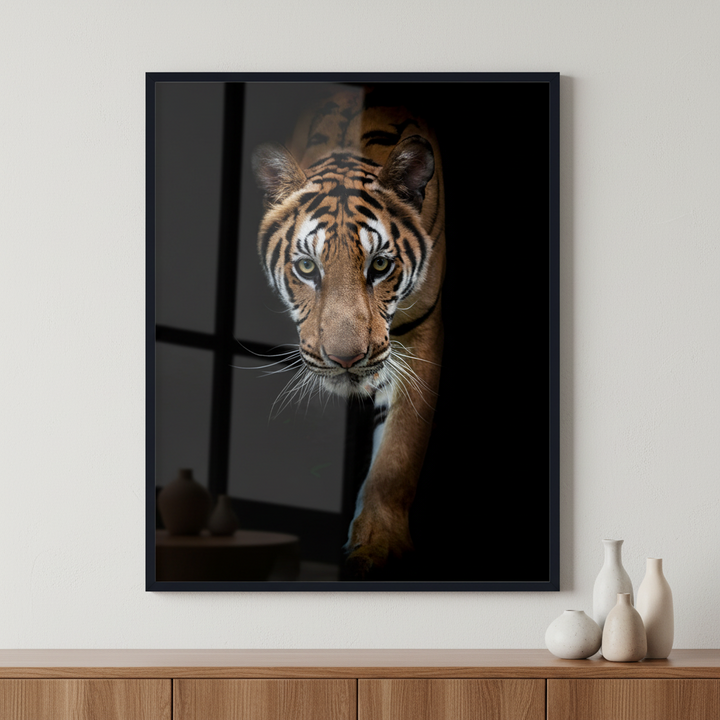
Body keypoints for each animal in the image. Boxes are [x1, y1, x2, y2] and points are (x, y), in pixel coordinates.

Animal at [252, 87, 445, 579]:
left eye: (380, 265)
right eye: (307, 267)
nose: (345, 360)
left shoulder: (420, 340)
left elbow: (398, 453)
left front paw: (378, 547)